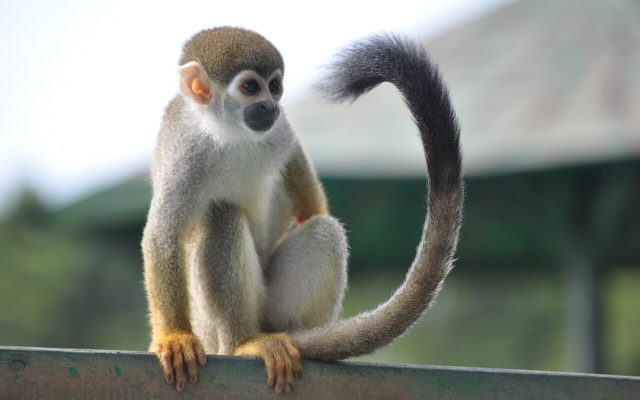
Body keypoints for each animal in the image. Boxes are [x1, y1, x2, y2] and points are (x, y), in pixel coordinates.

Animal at [141, 27, 463, 394]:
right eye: (250, 87)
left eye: (274, 85)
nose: (269, 105)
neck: (230, 133)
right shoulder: (186, 154)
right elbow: (163, 236)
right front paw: (174, 337)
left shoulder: (280, 130)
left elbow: (310, 206)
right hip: (208, 327)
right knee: (220, 216)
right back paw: (242, 343)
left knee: (324, 228)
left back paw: (297, 339)